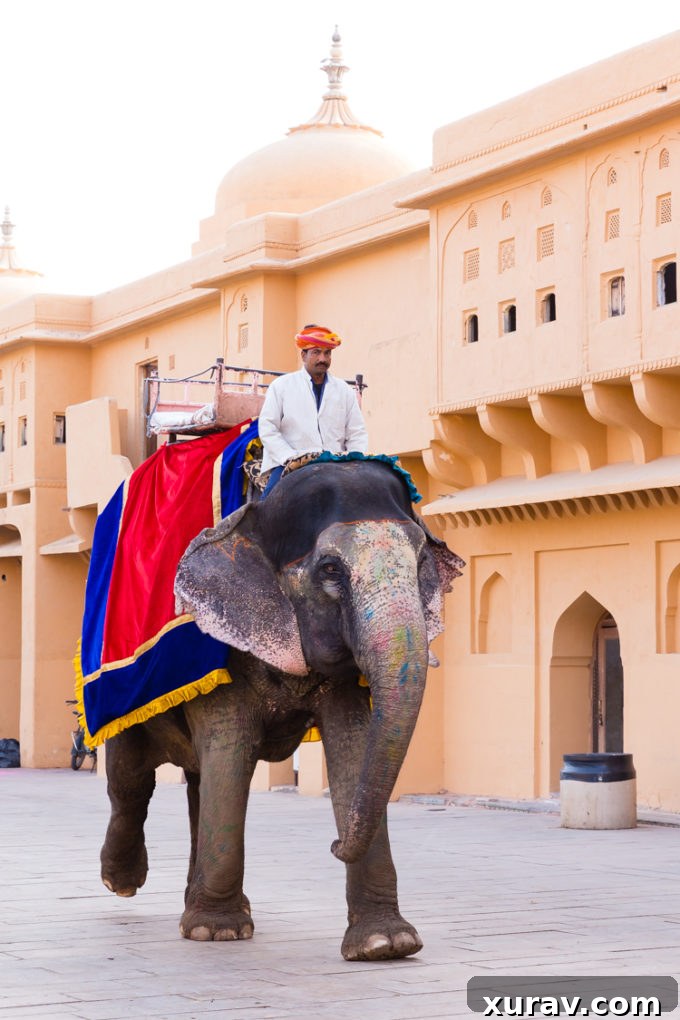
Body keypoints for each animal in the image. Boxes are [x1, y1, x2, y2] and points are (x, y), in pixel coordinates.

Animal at [100, 457, 463, 961]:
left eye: (421, 562)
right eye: (330, 569)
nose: (333, 843)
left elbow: (354, 748)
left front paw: (386, 945)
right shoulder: (223, 644)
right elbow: (230, 750)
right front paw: (217, 932)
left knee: (197, 783)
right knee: (131, 779)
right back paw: (121, 881)